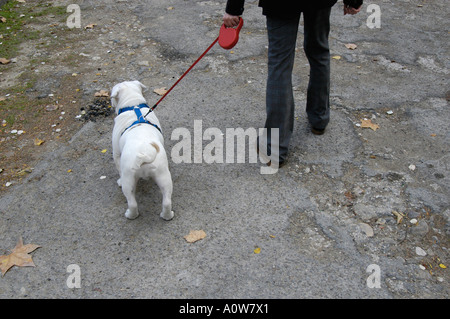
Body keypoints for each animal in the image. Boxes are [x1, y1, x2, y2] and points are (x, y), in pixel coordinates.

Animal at [110, 80, 174, 220]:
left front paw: (119, 180)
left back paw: (131, 215)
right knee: (167, 201)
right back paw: (167, 215)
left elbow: (118, 168)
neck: (133, 105)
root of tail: (145, 154)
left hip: (129, 179)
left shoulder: (116, 154)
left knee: (132, 203)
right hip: (163, 176)